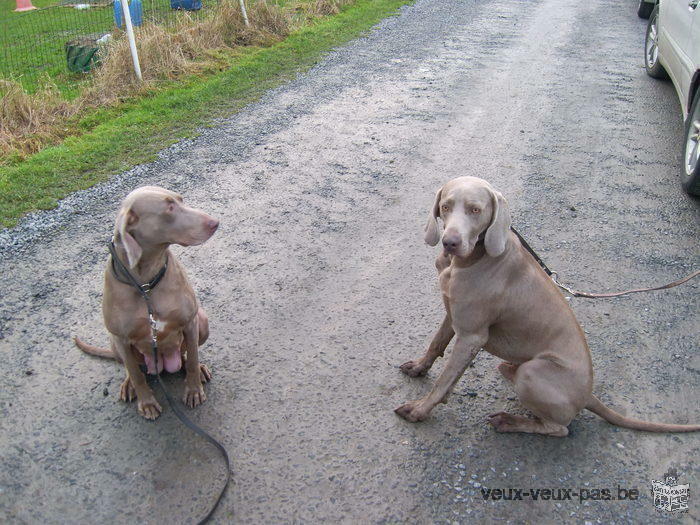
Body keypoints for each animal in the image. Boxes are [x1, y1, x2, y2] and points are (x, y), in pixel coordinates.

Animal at [75, 186, 217, 420]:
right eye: (169, 207)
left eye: (180, 199)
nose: (215, 222)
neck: (146, 284)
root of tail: (162, 365)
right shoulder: (121, 338)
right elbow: (135, 373)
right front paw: (147, 403)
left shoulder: (190, 321)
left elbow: (193, 359)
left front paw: (194, 390)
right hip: (113, 342)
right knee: (133, 369)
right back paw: (128, 385)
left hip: (202, 321)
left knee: (187, 356)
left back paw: (197, 369)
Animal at [396, 176, 696, 434]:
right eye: (445, 206)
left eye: (475, 210)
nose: (450, 242)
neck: (467, 261)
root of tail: (588, 395)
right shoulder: (453, 312)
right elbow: (436, 344)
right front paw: (419, 368)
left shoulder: (472, 335)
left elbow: (445, 378)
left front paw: (420, 410)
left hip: (534, 373)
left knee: (558, 428)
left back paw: (511, 422)